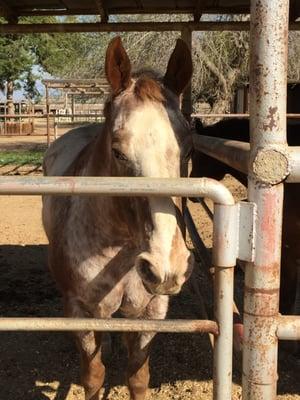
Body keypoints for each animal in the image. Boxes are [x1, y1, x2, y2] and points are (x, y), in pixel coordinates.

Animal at [42, 37, 195, 400]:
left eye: (187, 150)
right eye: (118, 152)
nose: (167, 266)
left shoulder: (152, 312)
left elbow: (138, 377)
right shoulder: (80, 312)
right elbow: (94, 376)